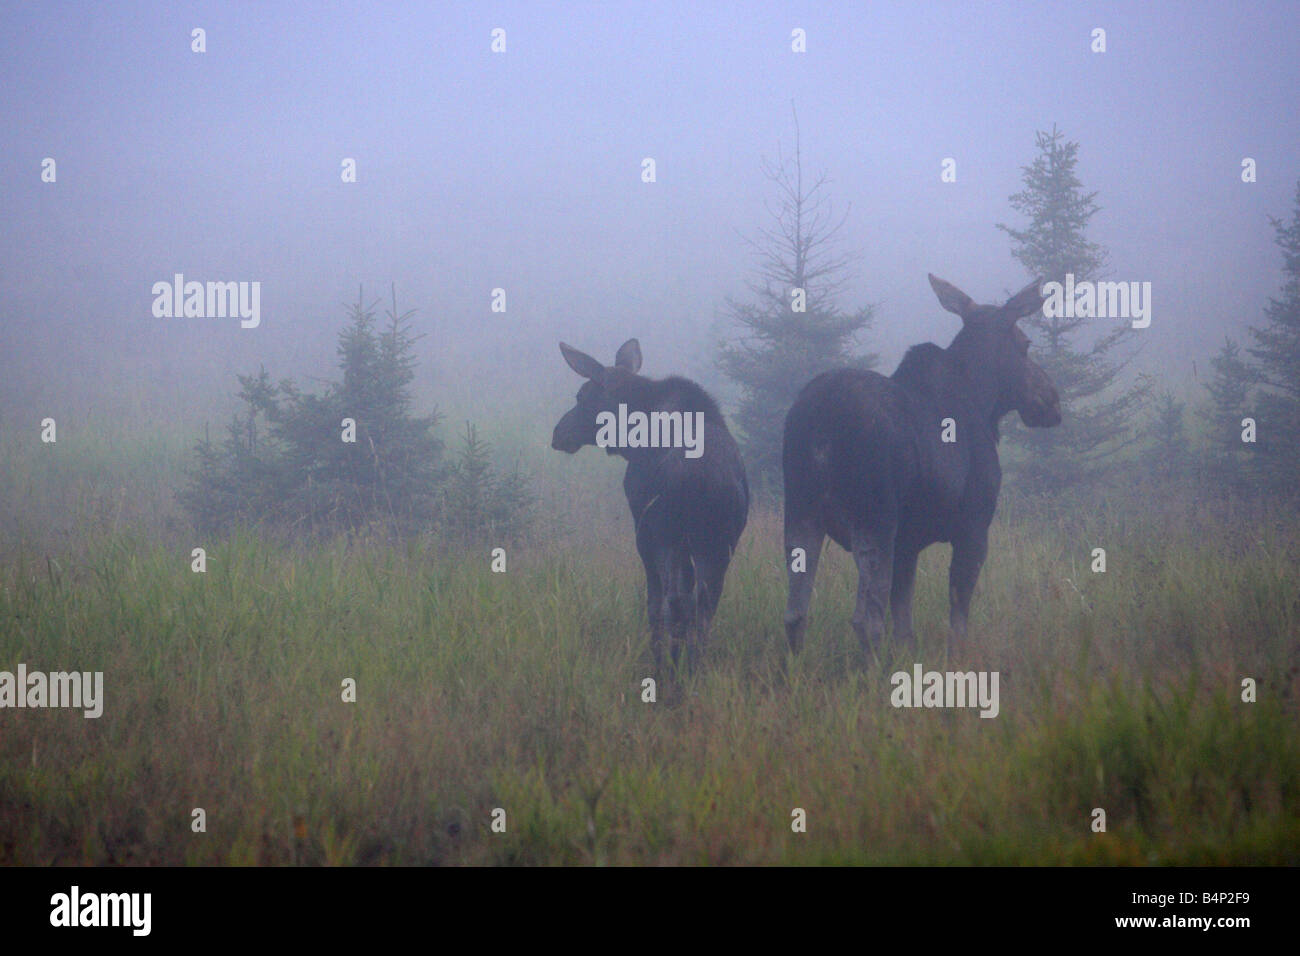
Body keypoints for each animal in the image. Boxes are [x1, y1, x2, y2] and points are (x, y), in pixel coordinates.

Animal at [551, 340, 754, 676]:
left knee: (673, 601)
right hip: (719, 541)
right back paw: (693, 669)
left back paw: (668, 666)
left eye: (582, 395)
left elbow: (653, 599)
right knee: (704, 603)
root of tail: (701, 477)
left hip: (665, 533)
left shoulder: (644, 529)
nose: (558, 433)